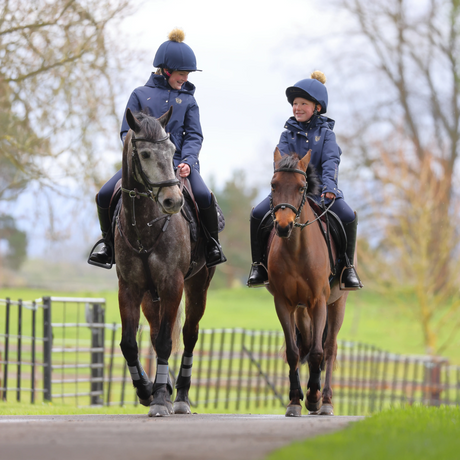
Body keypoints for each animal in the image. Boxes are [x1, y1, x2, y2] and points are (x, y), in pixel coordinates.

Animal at [116, 108, 215, 416]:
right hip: (152, 297)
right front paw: (146, 390)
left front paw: (159, 399)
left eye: (172, 150)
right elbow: (129, 344)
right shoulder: (129, 287)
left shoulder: (173, 284)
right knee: (153, 331)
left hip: (197, 288)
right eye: (146, 153)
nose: (173, 201)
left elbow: (165, 342)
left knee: (189, 335)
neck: (145, 225)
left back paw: (180, 397)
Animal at [266, 148, 348, 416]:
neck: (296, 249)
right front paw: (295, 400)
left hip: (336, 304)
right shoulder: (283, 304)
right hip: (302, 311)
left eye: (301, 187)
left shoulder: (319, 302)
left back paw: (326, 400)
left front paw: (314, 397)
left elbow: (317, 353)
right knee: (308, 343)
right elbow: (293, 353)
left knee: (329, 348)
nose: (283, 226)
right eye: (274, 184)